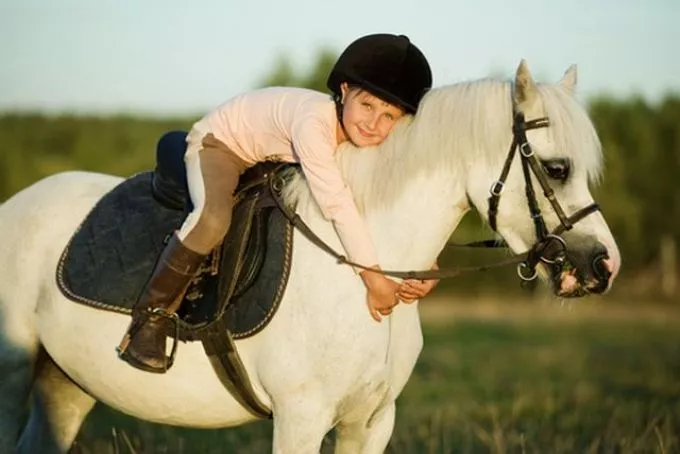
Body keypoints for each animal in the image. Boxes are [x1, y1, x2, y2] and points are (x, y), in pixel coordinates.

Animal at [0, 61, 620, 454]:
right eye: (558, 167)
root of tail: (17, 204)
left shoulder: (371, 422)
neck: (360, 269)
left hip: (66, 383)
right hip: (14, 371)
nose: (603, 266)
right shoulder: (300, 419)